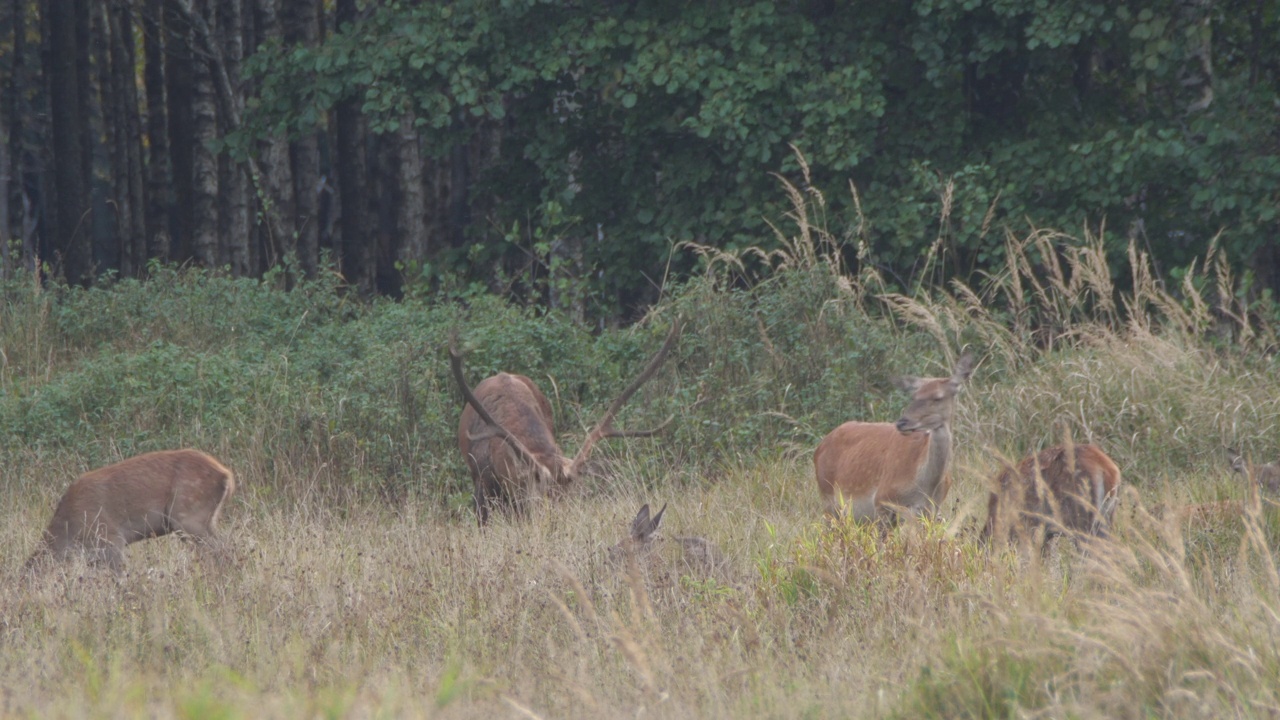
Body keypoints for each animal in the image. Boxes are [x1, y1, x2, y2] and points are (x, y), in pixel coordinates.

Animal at [814, 351, 972, 517]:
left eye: (937, 397)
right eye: (914, 396)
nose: (902, 422)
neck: (926, 488)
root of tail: (819, 447)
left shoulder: (934, 508)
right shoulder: (882, 500)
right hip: (828, 501)